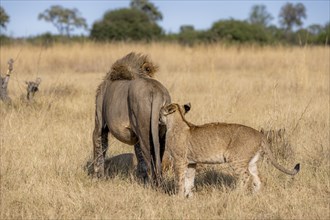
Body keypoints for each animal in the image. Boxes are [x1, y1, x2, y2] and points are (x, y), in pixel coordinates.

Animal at [92, 52, 170, 185]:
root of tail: (156, 92)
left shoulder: (100, 122)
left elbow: (100, 147)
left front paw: (98, 177)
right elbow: (139, 156)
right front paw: (141, 177)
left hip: (144, 131)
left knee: (149, 158)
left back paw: (151, 185)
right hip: (160, 132)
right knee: (156, 156)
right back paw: (155, 183)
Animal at [159, 103, 300, 198]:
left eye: (160, 111)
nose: (159, 118)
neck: (177, 122)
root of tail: (259, 134)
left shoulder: (179, 160)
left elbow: (180, 180)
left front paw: (178, 198)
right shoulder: (191, 162)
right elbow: (189, 180)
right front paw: (189, 197)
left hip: (236, 159)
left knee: (246, 176)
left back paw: (236, 195)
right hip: (252, 162)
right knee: (258, 178)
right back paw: (255, 196)